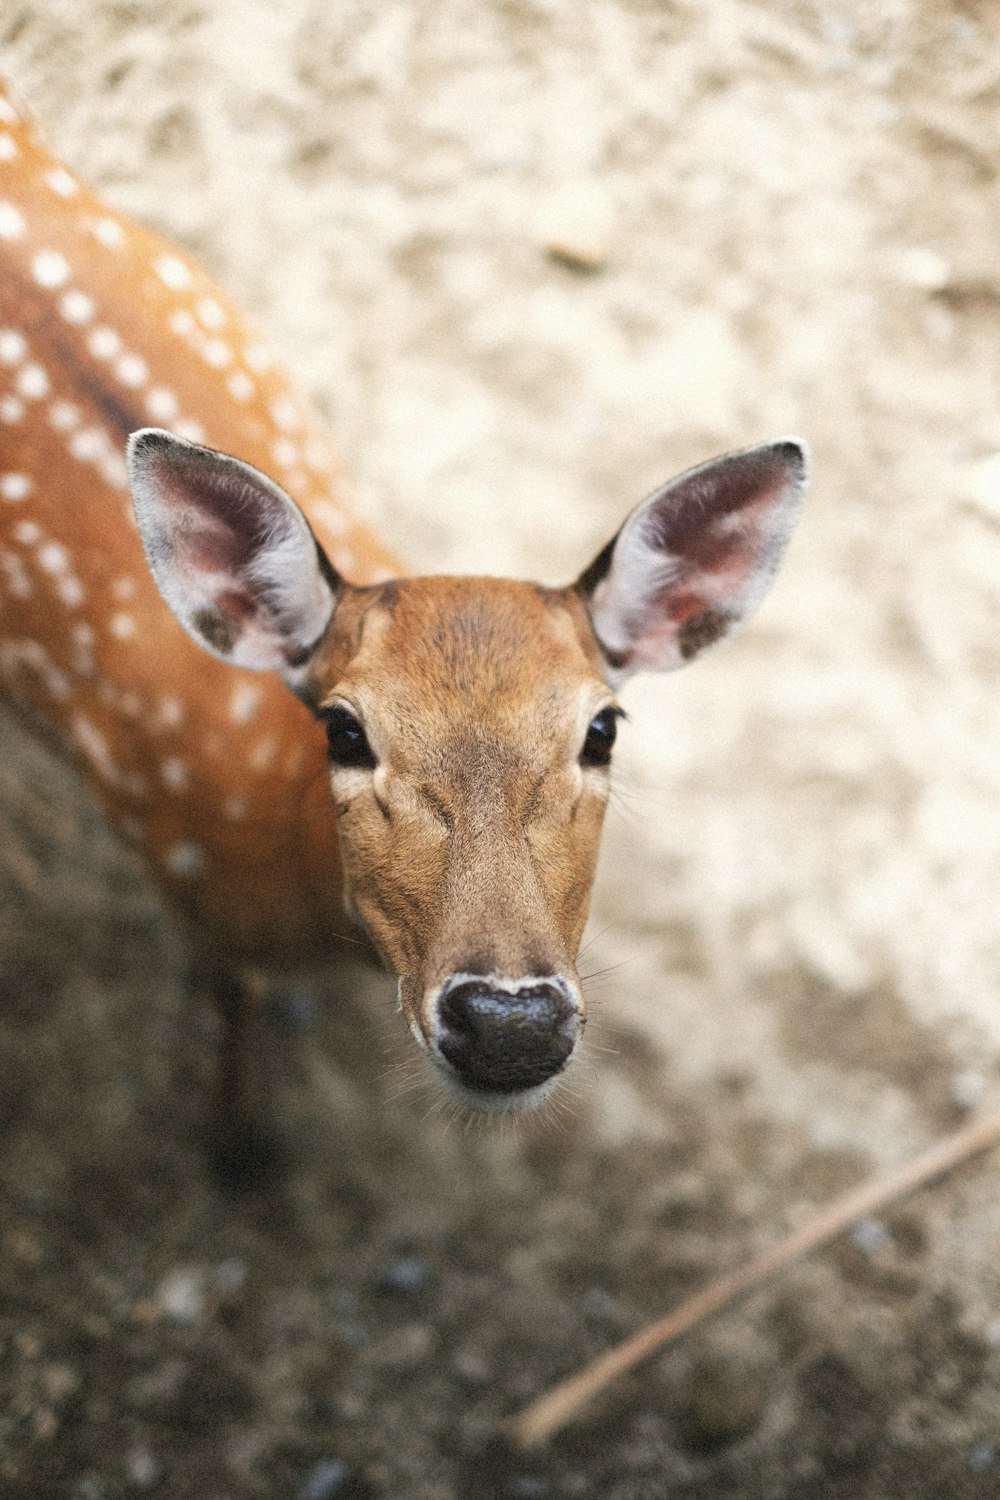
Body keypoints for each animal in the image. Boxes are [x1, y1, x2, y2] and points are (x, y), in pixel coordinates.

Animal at [0, 82, 809, 1182]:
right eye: (344, 729)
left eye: (602, 729)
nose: (509, 1023)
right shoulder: (189, 890)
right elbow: (231, 1008)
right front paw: (241, 1145)